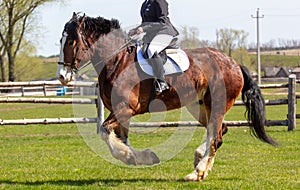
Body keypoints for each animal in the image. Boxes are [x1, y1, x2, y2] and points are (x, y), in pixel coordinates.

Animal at [56, 12, 276, 182]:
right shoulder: (120, 111)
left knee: (216, 136)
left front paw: (134, 156)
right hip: (199, 106)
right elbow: (120, 137)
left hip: (217, 103)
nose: (62, 76)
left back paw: (196, 173)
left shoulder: (125, 108)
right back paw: (199, 161)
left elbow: (105, 132)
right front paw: (140, 157)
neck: (117, 60)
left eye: (71, 41)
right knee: (219, 130)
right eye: (61, 40)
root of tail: (233, 63)